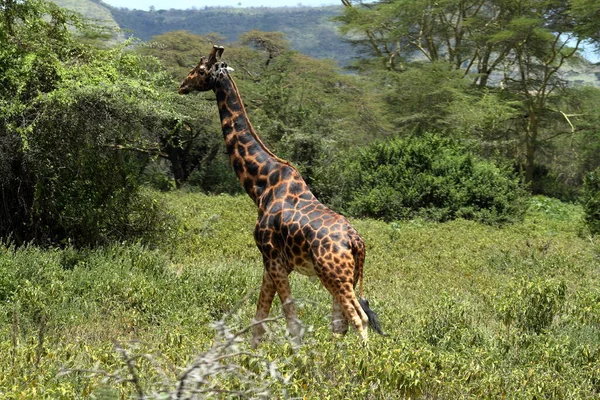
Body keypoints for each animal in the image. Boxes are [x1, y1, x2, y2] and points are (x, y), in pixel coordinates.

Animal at [180, 46, 382, 346]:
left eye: (201, 69)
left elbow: (291, 321)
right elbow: (259, 319)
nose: (182, 84)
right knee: (340, 323)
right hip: (345, 276)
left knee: (359, 318)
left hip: (334, 274)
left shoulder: (273, 257)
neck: (261, 185)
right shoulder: (272, 263)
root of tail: (356, 241)